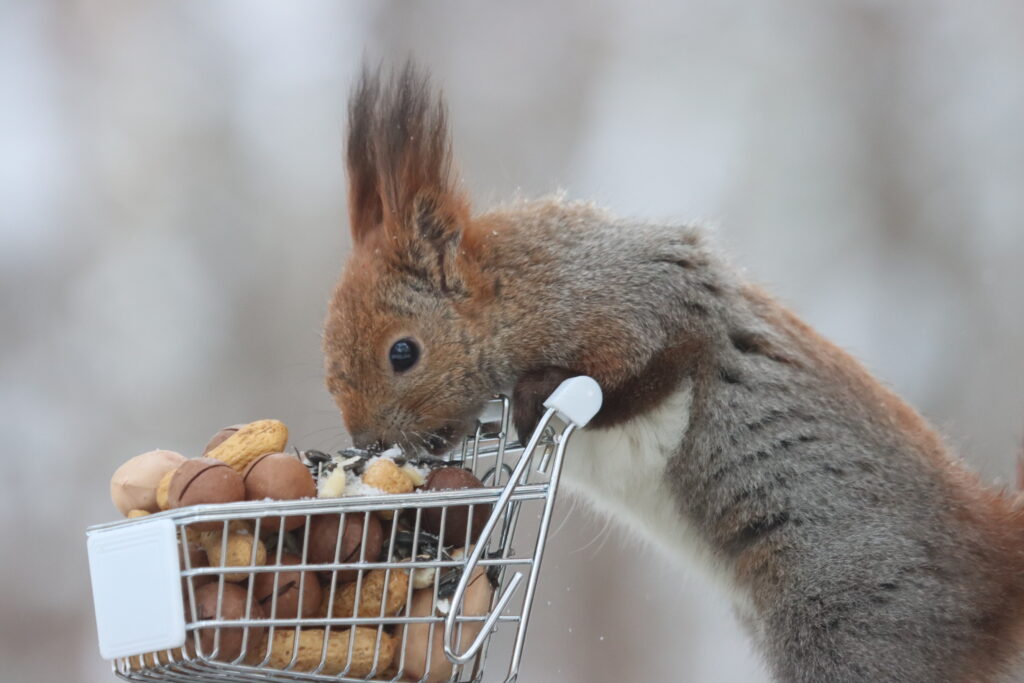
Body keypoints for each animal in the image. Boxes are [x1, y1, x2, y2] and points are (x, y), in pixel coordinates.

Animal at [322, 64, 1024, 682]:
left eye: (403, 353)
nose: (367, 446)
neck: (504, 288)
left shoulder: (630, 299)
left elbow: (641, 374)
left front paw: (532, 397)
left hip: (861, 619)